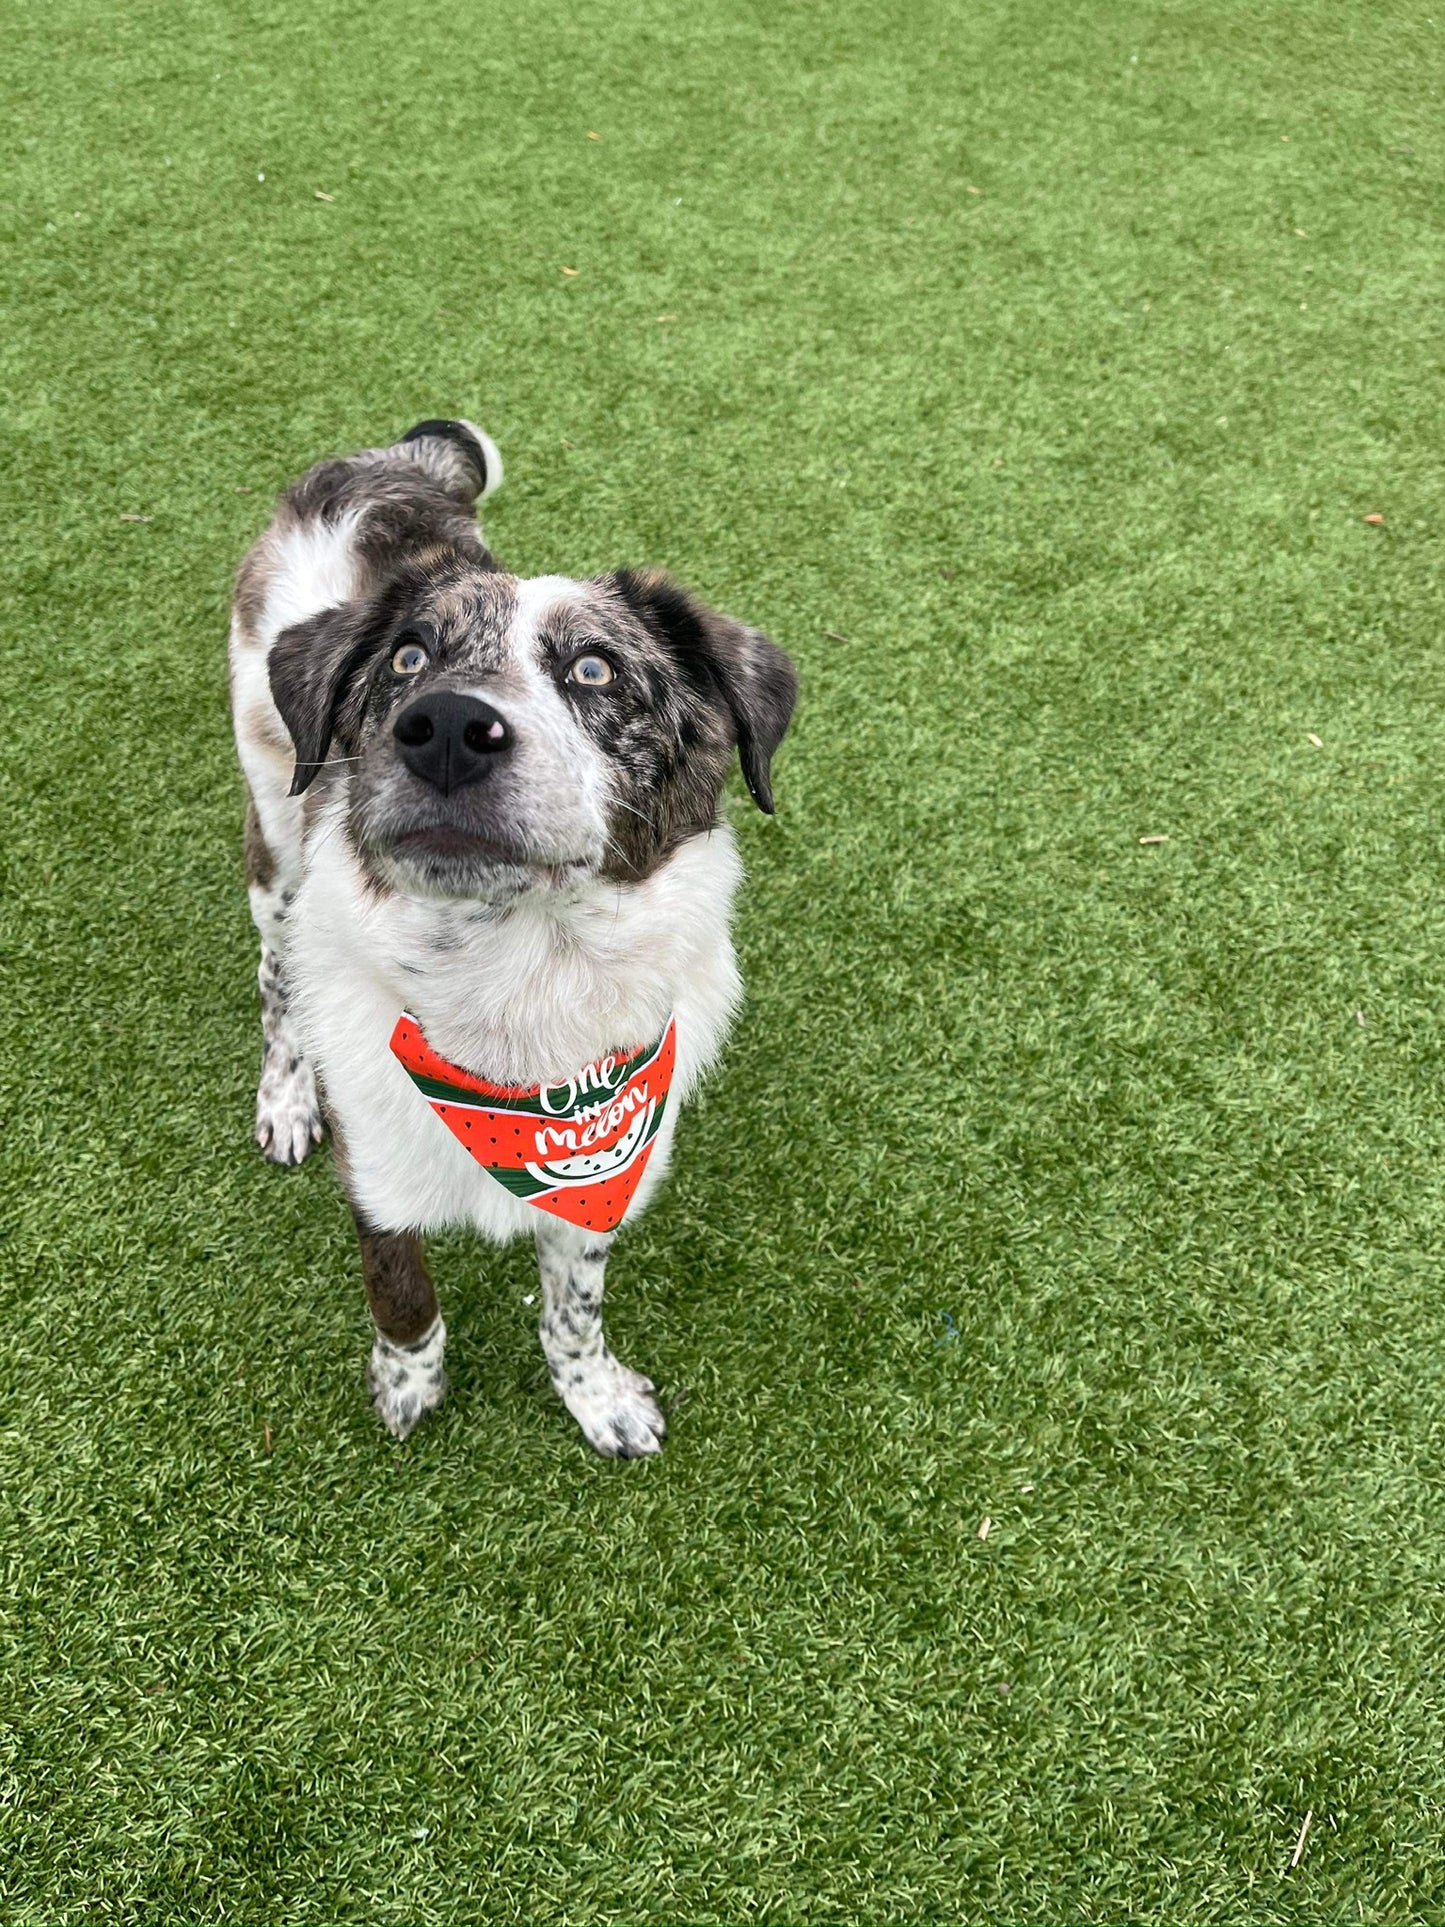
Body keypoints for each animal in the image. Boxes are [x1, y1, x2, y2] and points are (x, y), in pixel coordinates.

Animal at [233, 414, 805, 1449]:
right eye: (409, 659)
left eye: (594, 668)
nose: (447, 726)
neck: (518, 977)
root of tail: (380, 465)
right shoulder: (373, 1165)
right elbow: (400, 1293)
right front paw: (409, 1384)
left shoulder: (603, 1171)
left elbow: (572, 1306)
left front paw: (596, 1396)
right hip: (273, 829)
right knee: (275, 978)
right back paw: (285, 1096)